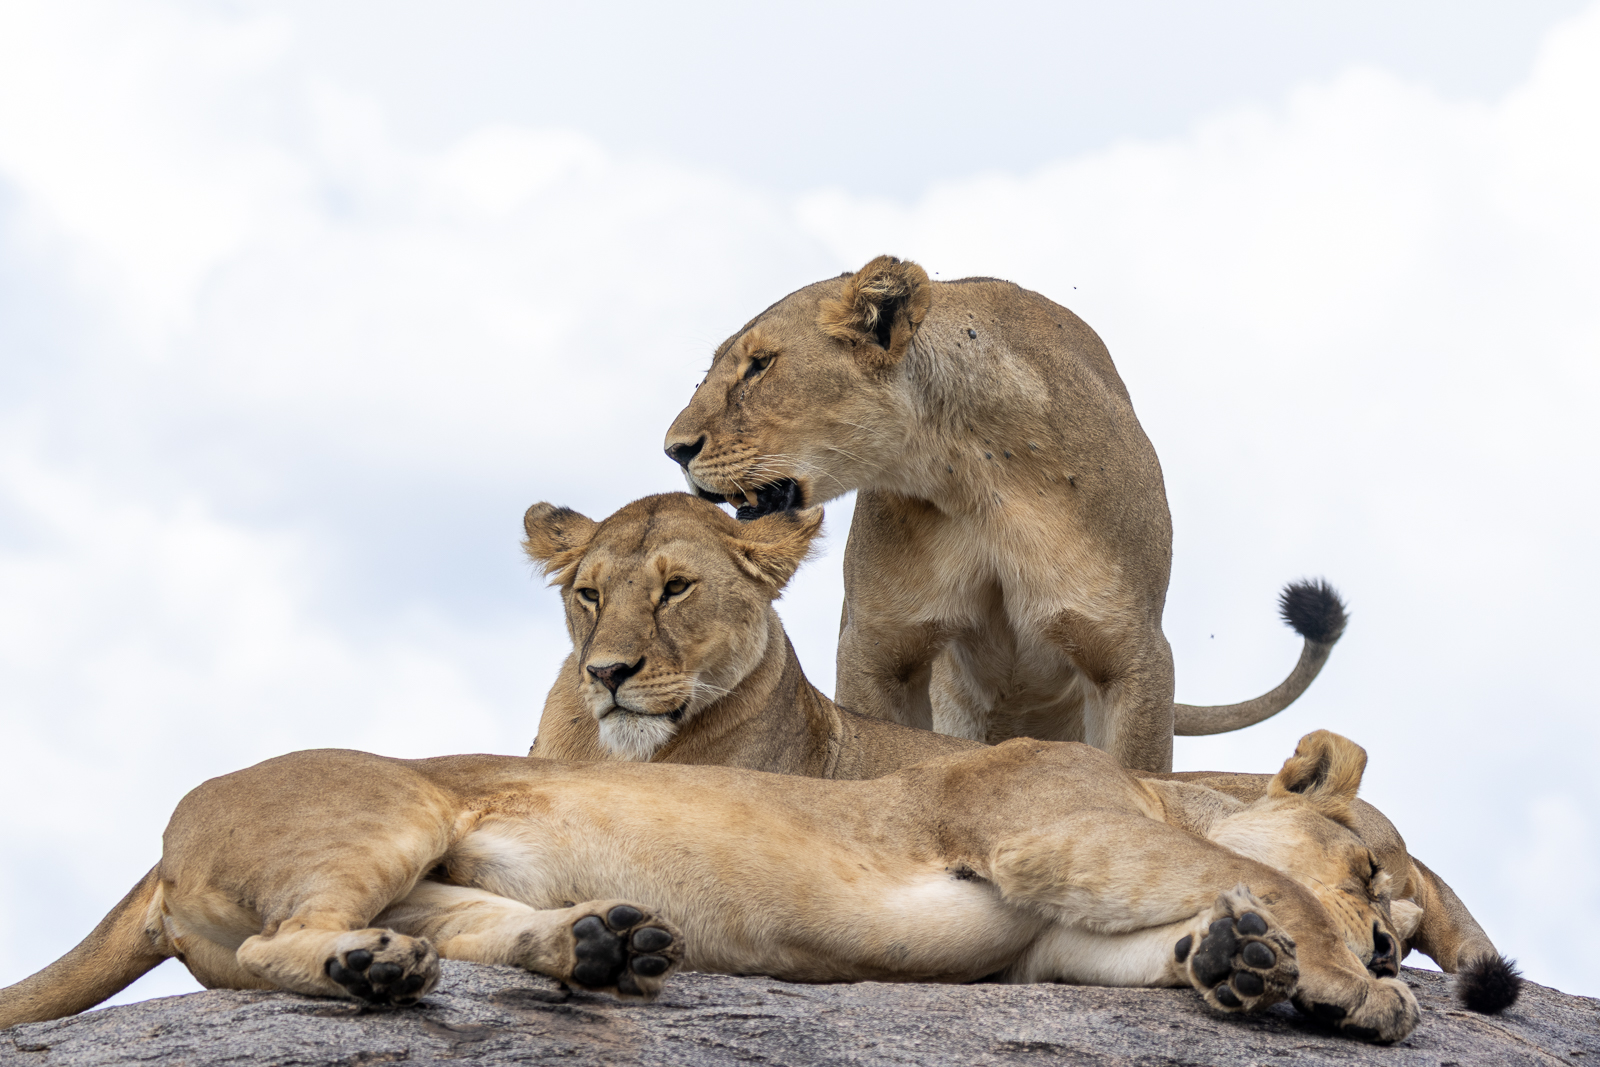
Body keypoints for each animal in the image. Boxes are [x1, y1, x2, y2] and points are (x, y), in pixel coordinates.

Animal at [663, 255, 1342, 772]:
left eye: (759, 365)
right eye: (712, 370)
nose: (674, 449)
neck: (973, 479)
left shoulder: (1130, 650)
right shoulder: (879, 644)